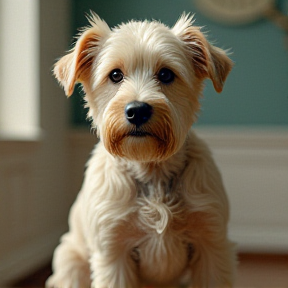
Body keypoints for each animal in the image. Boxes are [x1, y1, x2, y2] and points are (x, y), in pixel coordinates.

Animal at [46, 12, 236, 288]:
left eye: (166, 74)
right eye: (115, 75)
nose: (137, 111)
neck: (151, 170)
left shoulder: (212, 246)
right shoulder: (113, 254)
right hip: (70, 261)